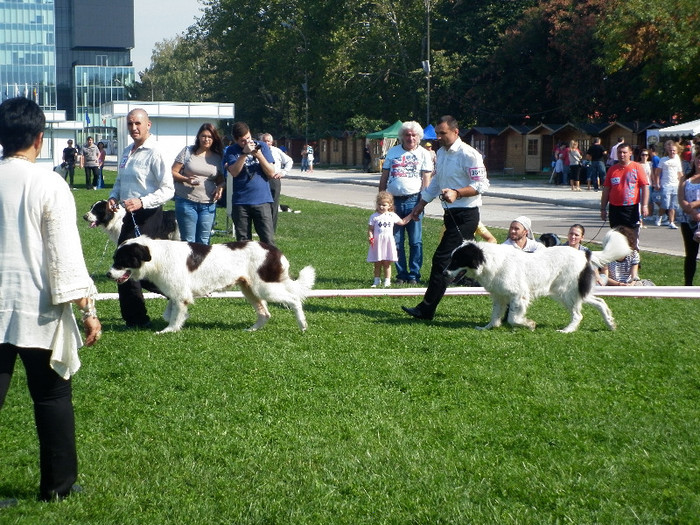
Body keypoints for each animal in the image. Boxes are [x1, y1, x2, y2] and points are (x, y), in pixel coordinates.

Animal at [106, 236, 314, 332]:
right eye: (115, 259)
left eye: (121, 261)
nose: (108, 274)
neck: (156, 256)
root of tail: (274, 251)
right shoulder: (177, 293)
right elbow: (170, 312)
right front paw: (176, 322)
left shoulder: (180, 295)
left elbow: (174, 316)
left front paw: (169, 331)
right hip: (249, 289)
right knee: (265, 313)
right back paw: (252, 329)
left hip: (265, 288)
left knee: (294, 299)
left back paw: (303, 325)